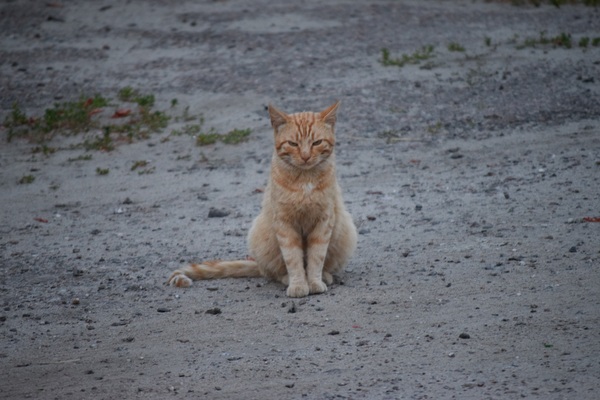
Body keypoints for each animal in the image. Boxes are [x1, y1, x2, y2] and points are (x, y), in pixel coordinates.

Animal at [166, 101, 356, 298]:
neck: (305, 179)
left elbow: (316, 257)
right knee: (273, 272)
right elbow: (293, 259)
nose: (305, 156)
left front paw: (314, 282)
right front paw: (298, 284)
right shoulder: (284, 224)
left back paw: (325, 276)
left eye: (317, 142)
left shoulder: (324, 221)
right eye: (293, 144)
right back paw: (286, 278)